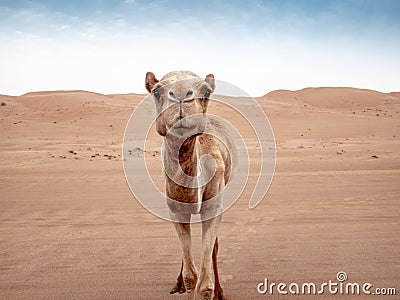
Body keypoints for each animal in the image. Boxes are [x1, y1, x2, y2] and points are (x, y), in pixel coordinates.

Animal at [146, 71, 236, 300]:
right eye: (156, 91)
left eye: (207, 91)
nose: (180, 95)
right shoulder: (176, 209)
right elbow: (190, 276)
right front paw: (182, 282)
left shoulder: (213, 207)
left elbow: (205, 285)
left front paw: (215, 291)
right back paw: (176, 283)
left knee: (214, 247)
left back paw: (221, 292)